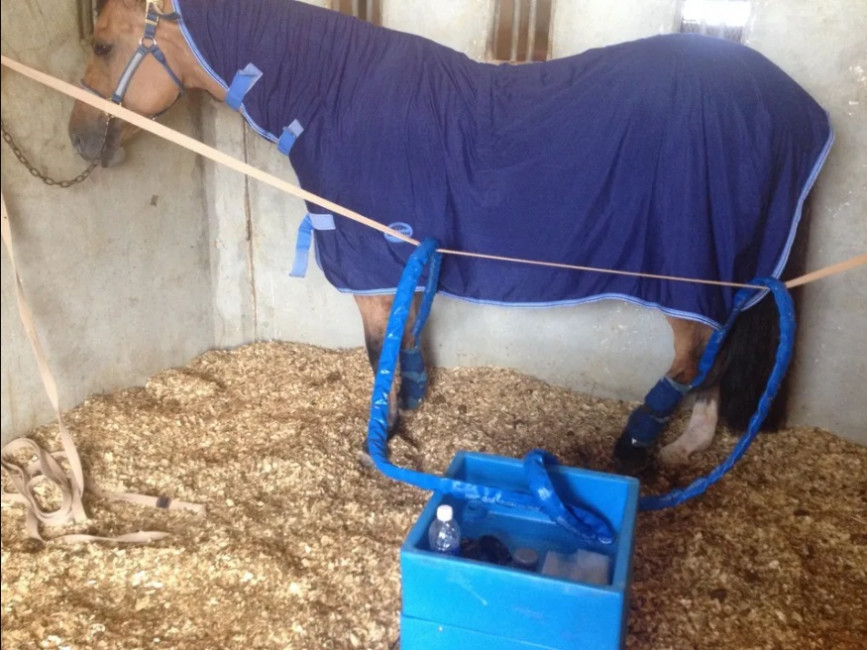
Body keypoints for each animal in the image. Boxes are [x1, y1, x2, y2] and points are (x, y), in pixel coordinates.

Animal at [68, 0, 833, 471]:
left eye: (103, 43)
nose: (78, 138)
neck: (337, 96)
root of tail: (802, 109)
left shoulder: (373, 257)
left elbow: (377, 346)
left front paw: (389, 434)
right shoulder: (411, 256)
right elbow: (407, 338)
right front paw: (411, 404)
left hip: (691, 274)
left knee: (693, 359)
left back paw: (636, 450)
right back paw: (685, 447)